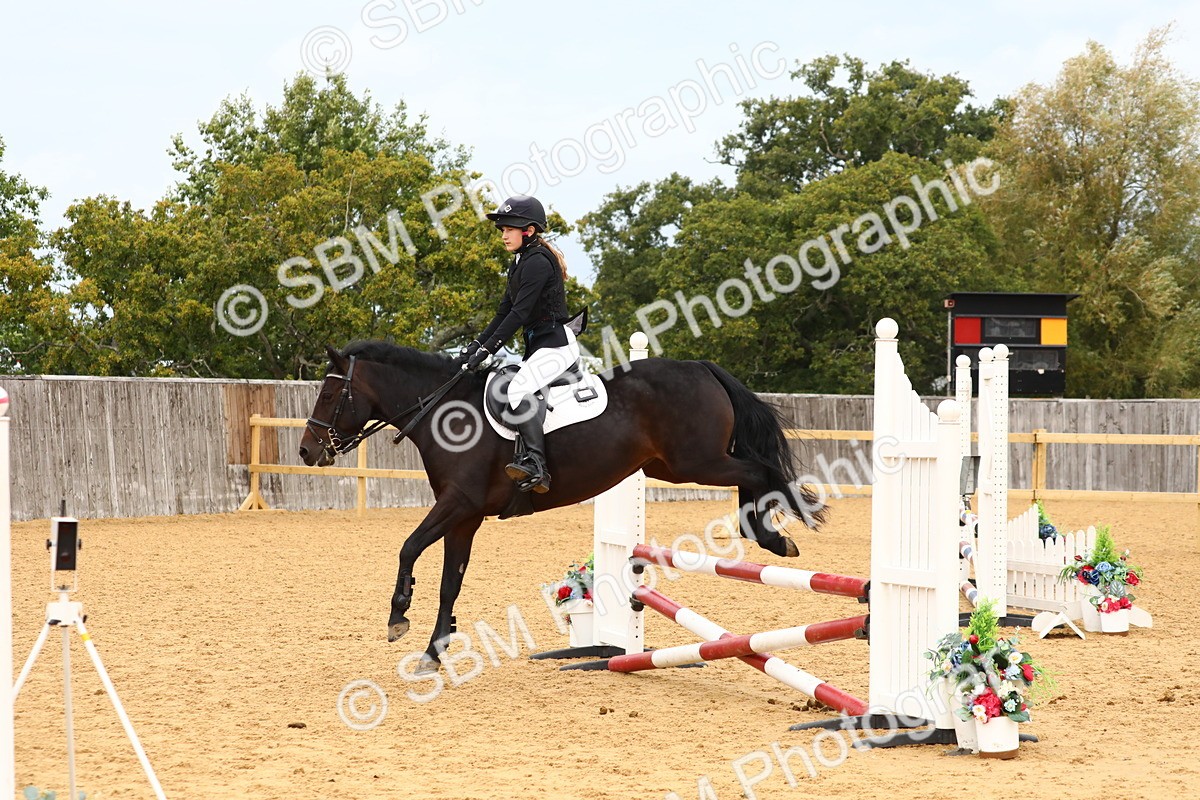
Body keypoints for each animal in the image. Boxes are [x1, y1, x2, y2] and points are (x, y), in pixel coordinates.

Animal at [299, 341, 826, 673]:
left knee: (758, 472)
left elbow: (408, 547)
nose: (307, 451)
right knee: (753, 473)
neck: (445, 412)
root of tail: (700, 366)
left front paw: (398, 617)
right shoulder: (465, 517)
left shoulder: (458, 503)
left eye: (330, 392)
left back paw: (774, 539)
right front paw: (434, 650)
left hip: (698, 461)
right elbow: (451, 581)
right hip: (674, 467)